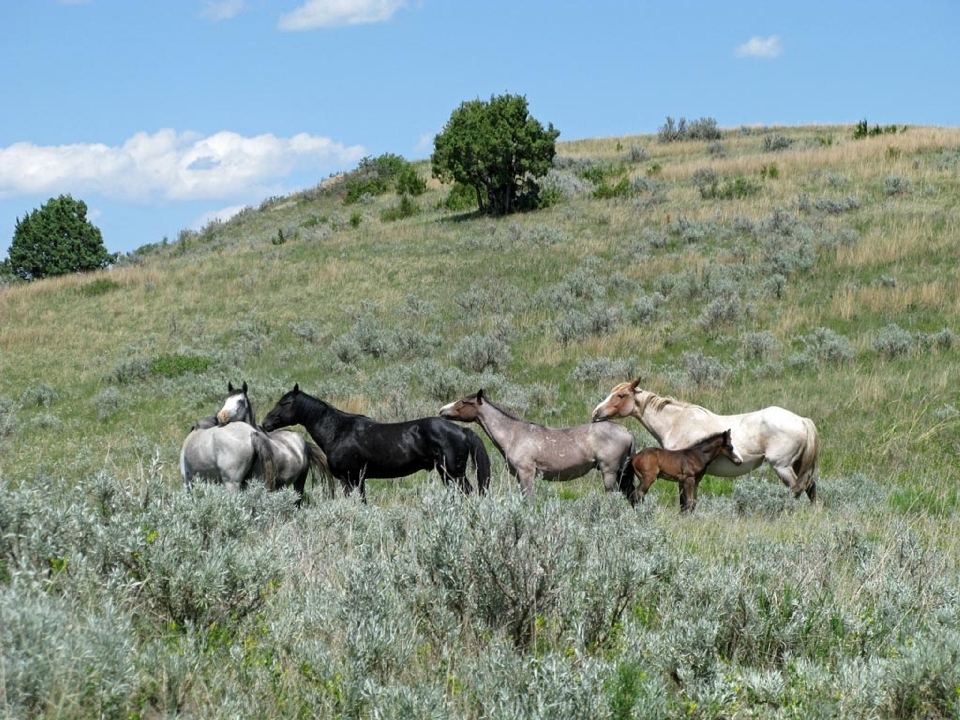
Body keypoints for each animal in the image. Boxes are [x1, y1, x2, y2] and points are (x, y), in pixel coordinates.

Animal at [258, 382, 492, 500]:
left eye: (285, 403)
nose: (264, 424)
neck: (338, 430)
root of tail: (462, 430)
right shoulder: (358, 480)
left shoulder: (349, 479)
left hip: (454, 473)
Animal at [440, 388, 636, 500]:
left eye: (464, 402)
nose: (442, 410)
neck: (513, 434)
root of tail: (627, 431)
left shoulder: (526, 474)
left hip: (609, 472)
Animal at [592, 380, 816, 504]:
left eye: (620, 395)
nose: (595, 413)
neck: (676, 421)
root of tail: (802, 420)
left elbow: (684, 502)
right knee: (810, 487)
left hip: (782, 467)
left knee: (798, 489)